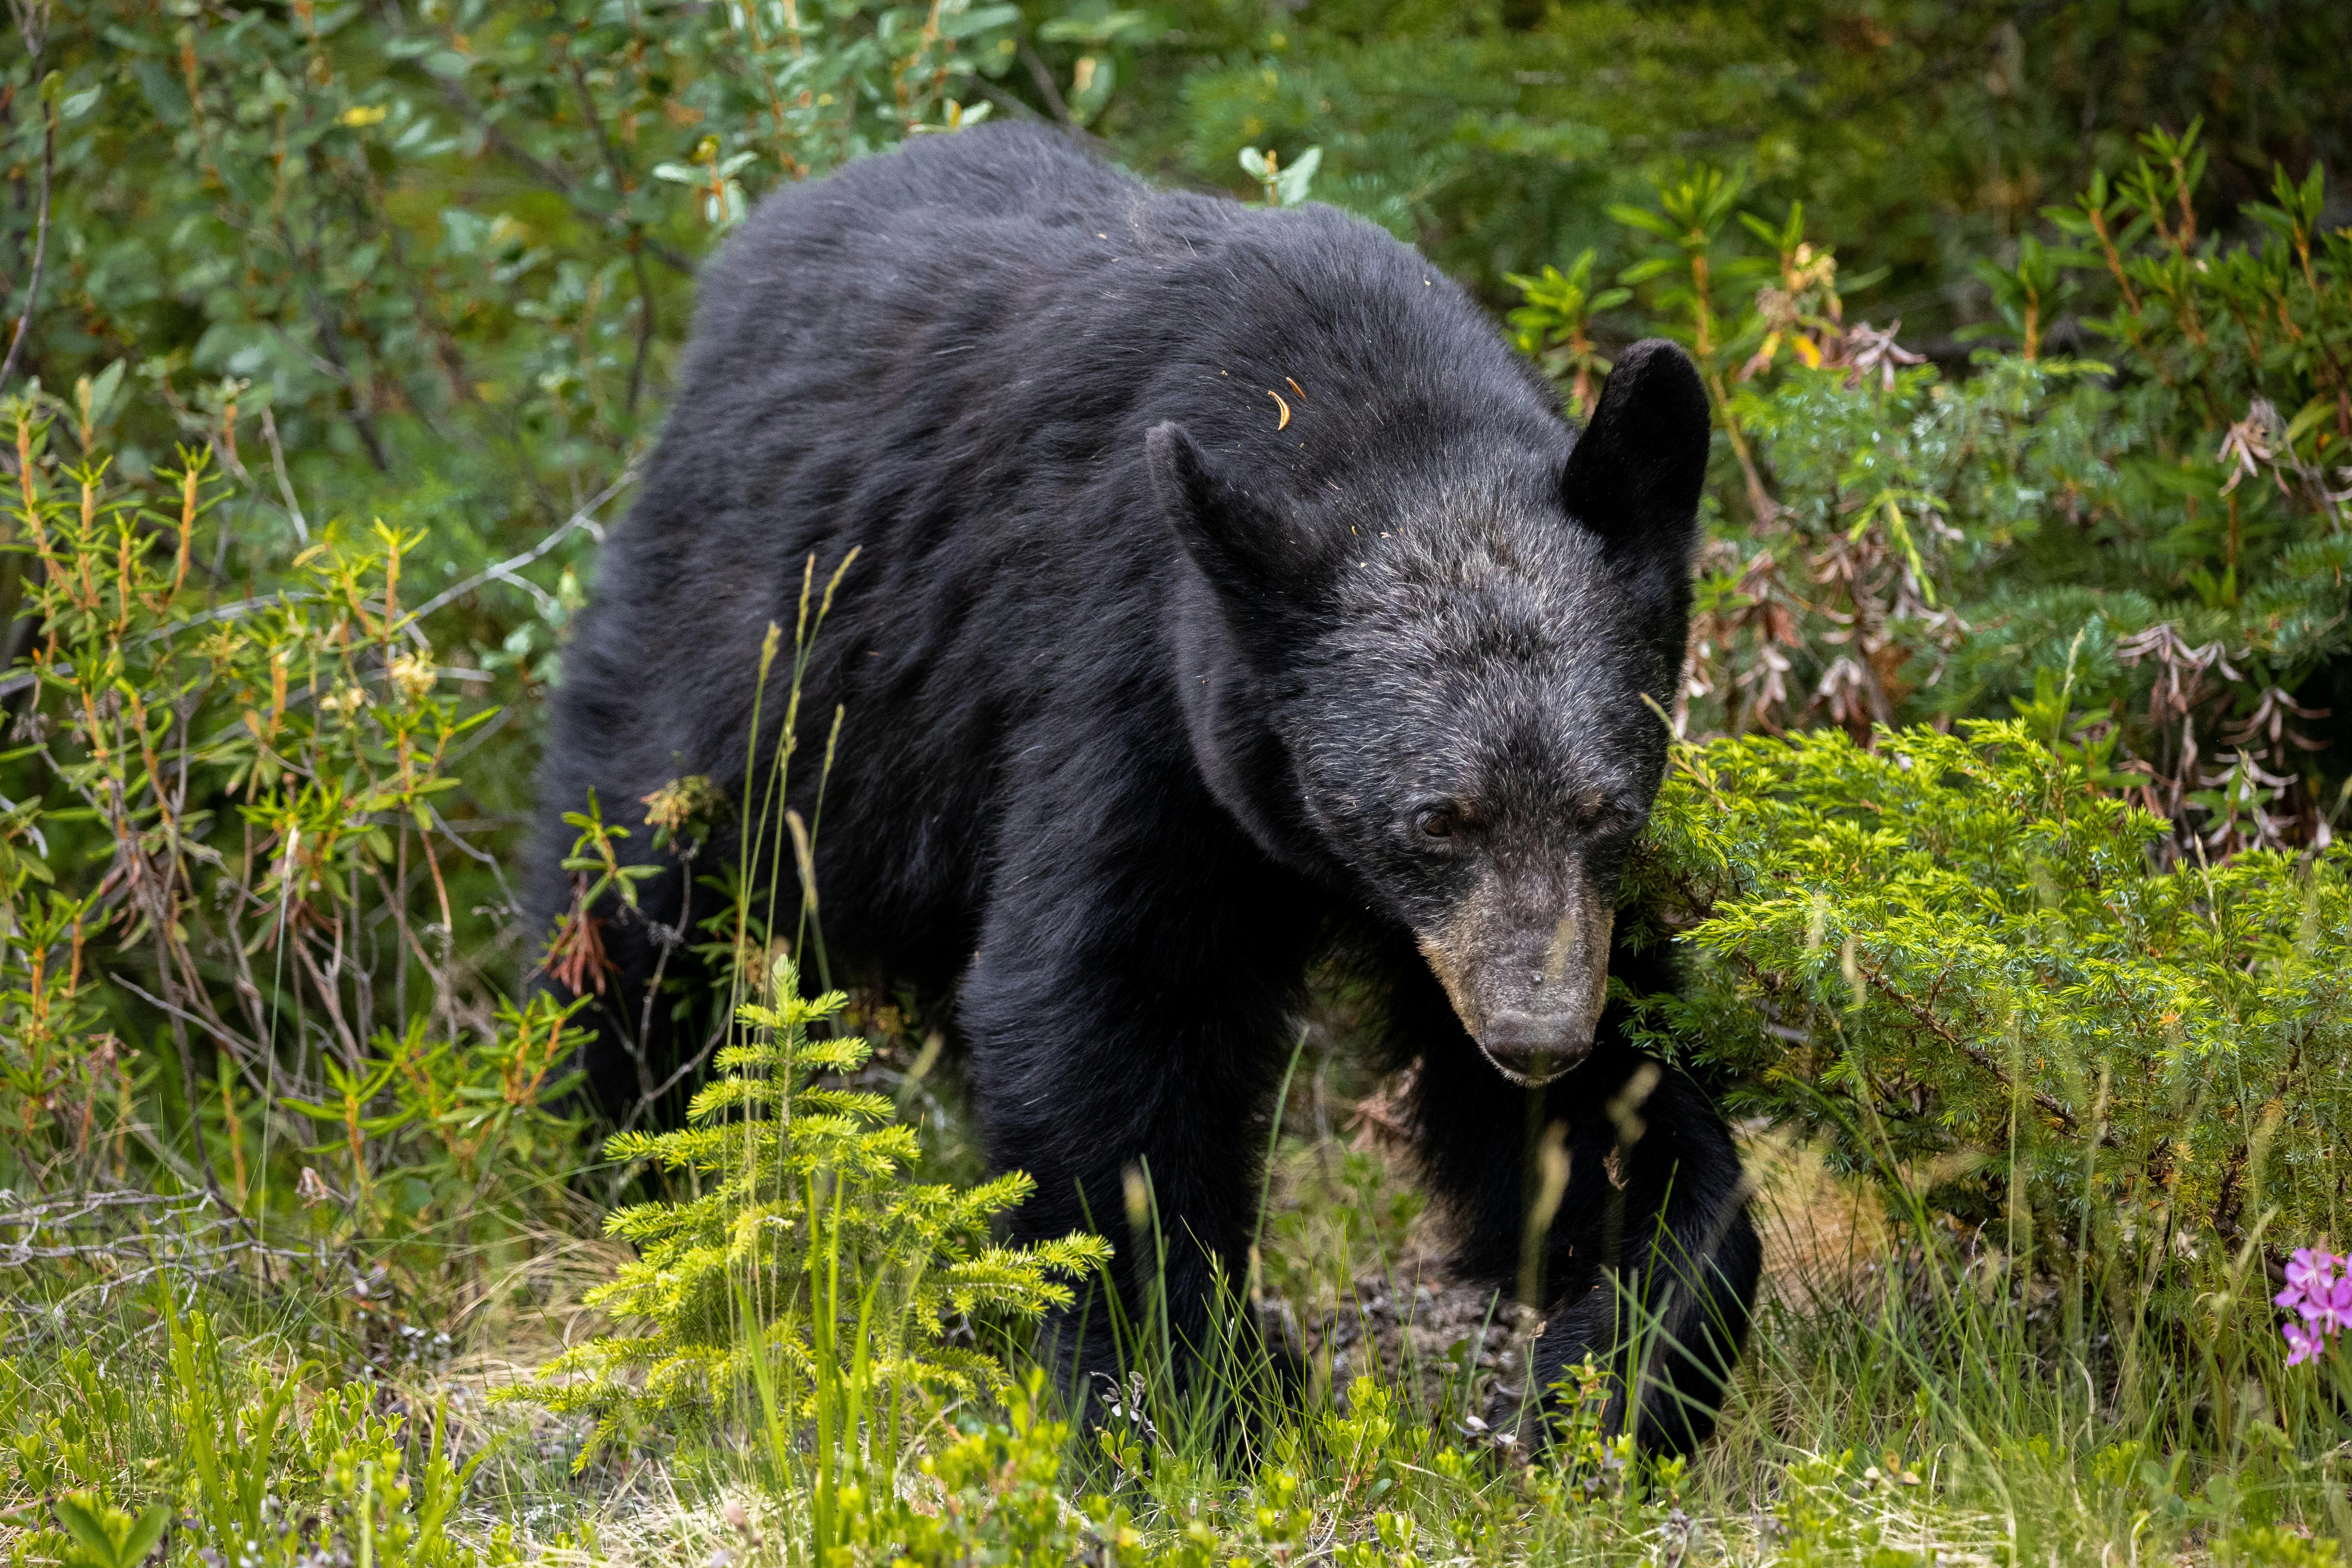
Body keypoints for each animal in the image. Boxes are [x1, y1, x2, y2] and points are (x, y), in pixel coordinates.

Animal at [534, 122, 1750, 1457]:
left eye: (1606, 808)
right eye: (1436, 818)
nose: (1536, 1038)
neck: (1369, 417)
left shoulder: (1522, 914)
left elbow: (1617, 1103)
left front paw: (1616, 1358)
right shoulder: (1134, 684)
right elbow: (1105, 1006)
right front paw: (1185, 1395)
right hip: (760, 661)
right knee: (637, 901)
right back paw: (631, 1164)